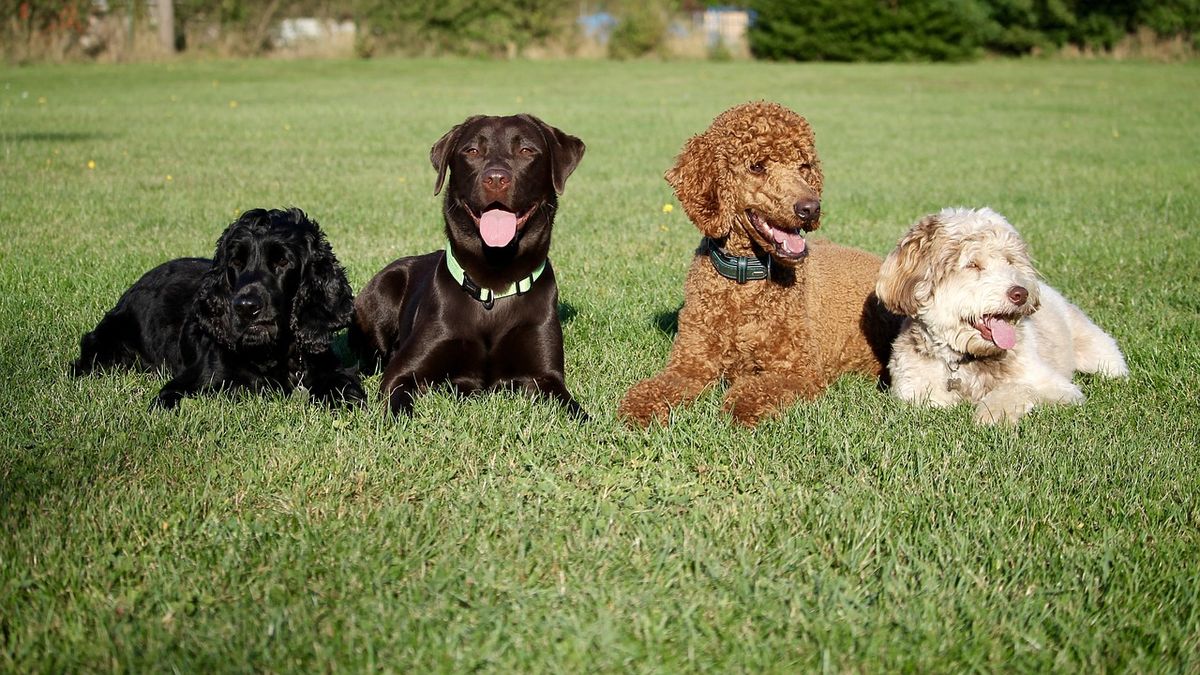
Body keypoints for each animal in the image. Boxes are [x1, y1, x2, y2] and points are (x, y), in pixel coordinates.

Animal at [873, 207, 1123, 422]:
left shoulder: (1057, 386)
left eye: (1010, 261)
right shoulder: (914, 390)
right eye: (973, 265)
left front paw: (992, 414)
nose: (1020, 293)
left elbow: (1018, 387)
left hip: (1099, 353)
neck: (968, 360)